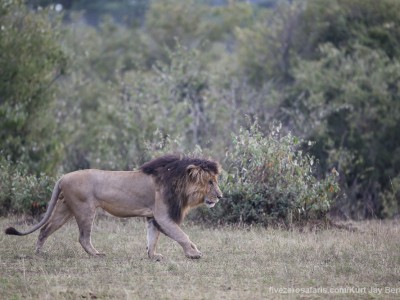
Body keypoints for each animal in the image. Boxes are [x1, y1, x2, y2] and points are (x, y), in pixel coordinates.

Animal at [4, 156, 222, 258]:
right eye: (210, 182)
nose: (220, 196)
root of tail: (63, 177)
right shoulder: (163, 215)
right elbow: (182, 235)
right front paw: (194, 253)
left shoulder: (153, 217)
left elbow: (152, 238)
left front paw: (153, 256)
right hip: (84, 209)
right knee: (83, 237)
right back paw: (96, 254)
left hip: (64, 209)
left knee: (45, 230)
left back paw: (39, 253)